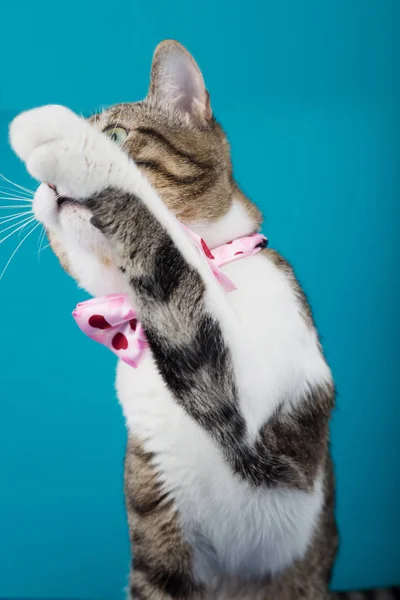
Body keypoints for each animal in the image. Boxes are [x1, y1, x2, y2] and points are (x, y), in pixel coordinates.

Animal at [10, 41, 400, 600]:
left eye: (115, 135)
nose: (44, 184)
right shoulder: (160, 535)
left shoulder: (269, 463)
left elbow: (159, 231)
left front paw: (66, 141)